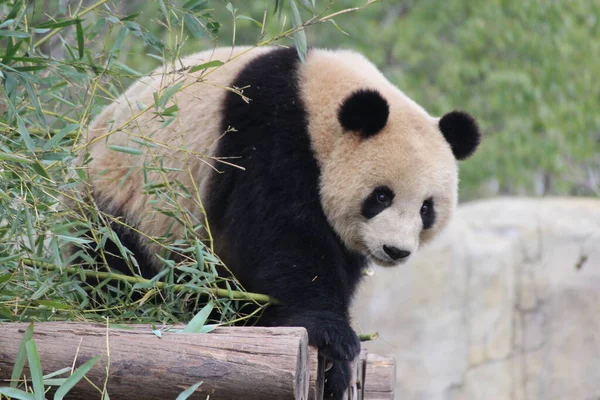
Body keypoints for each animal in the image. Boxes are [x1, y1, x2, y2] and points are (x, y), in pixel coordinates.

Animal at [72, 46, 480, 396]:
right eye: (382, 196)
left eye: (426, 208)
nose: (396, 251)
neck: (315, 101)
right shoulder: (268, 135)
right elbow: (283, 238)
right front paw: (334, 338)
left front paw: (337, 365)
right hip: (127, 200)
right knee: (114, 259)